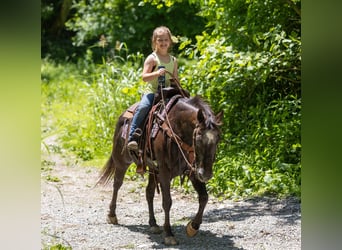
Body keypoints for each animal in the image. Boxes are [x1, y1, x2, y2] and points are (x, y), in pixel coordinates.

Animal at [97, 94, 223, 246]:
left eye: (218, 139)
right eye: (198, 137)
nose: (206, 174)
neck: (176, 129)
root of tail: (123, 115)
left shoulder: (193, 170)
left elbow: (204, 197)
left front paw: (193, 227)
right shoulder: (164, 171)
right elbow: (167, 202)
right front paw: (169, 234)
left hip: (152, 169)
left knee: (149, 192)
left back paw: (153, 224)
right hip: (121, 160)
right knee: (117, 184)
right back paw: (112, 215)